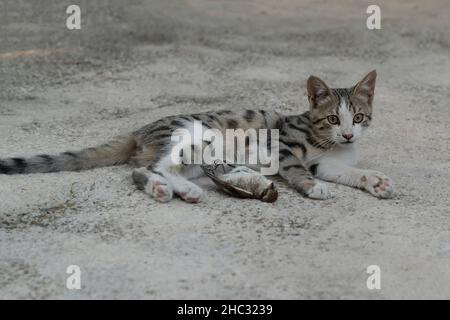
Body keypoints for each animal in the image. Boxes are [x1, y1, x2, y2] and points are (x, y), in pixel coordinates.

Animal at [0, 71, 394, 204]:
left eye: (358, 117)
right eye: (332, 118)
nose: (348, 134)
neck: (326, 141)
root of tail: (140, 129)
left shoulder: (328, 163)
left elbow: (348, 172)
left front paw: (374, 181)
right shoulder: (282, 145)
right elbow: (298, 169)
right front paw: (311, 188)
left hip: (202, 156)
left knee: (158, 170)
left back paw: (189, 187)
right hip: (194, 133)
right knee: (153, 168)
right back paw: (173, 189)